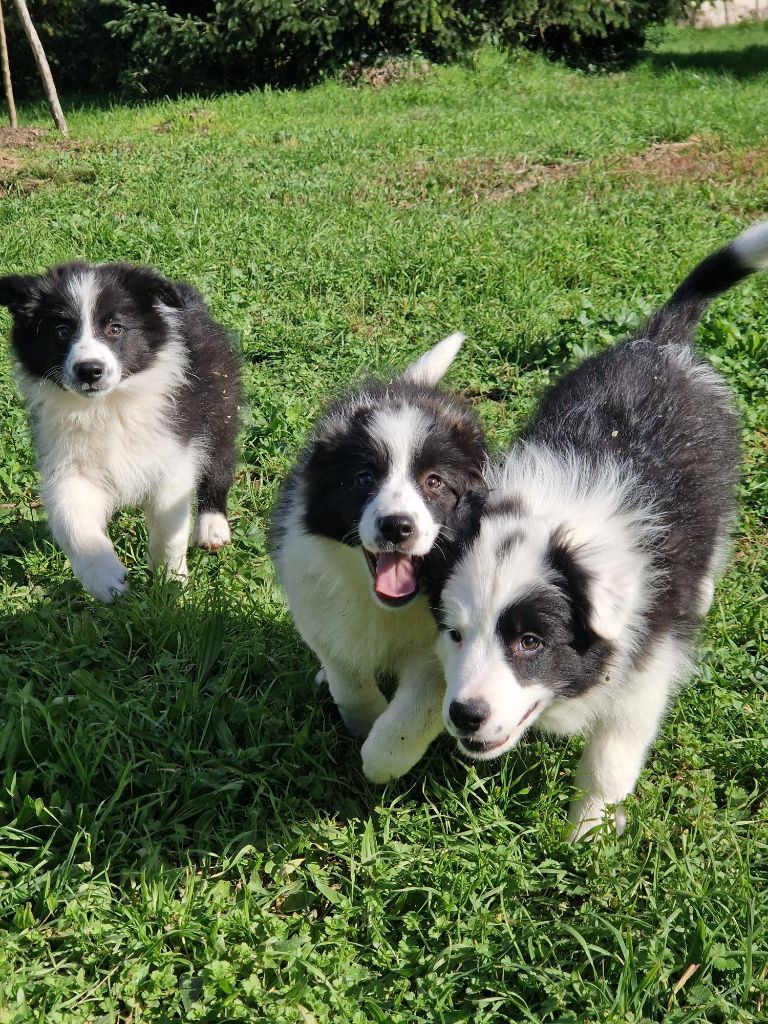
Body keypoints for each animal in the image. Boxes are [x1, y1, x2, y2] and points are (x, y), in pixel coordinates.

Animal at [0, 260, 240, 602]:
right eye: (61, 331)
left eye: (115, 328)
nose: (89, 370)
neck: (108, 406)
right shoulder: (68, 462)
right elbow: (71, 520)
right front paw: (105, 579)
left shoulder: (174, 454)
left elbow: (168, 527)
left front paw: (170, 583)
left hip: (221, 405)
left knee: (220, 463)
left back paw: (212, 527)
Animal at [270, 331, 487, 778]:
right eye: (364, 478)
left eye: (434, 481)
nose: (397, 527)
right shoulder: (318, 605)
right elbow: (346, 674)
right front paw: (364, 722)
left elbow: (420, 704)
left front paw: (380, 758)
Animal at [423, 222, 765, 839]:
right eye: (455, 634)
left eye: (530, 642)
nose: (466, 715)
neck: (555, 514)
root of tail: (658, 341)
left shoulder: (647, 666)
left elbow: (612, 752)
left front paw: (588, 835)